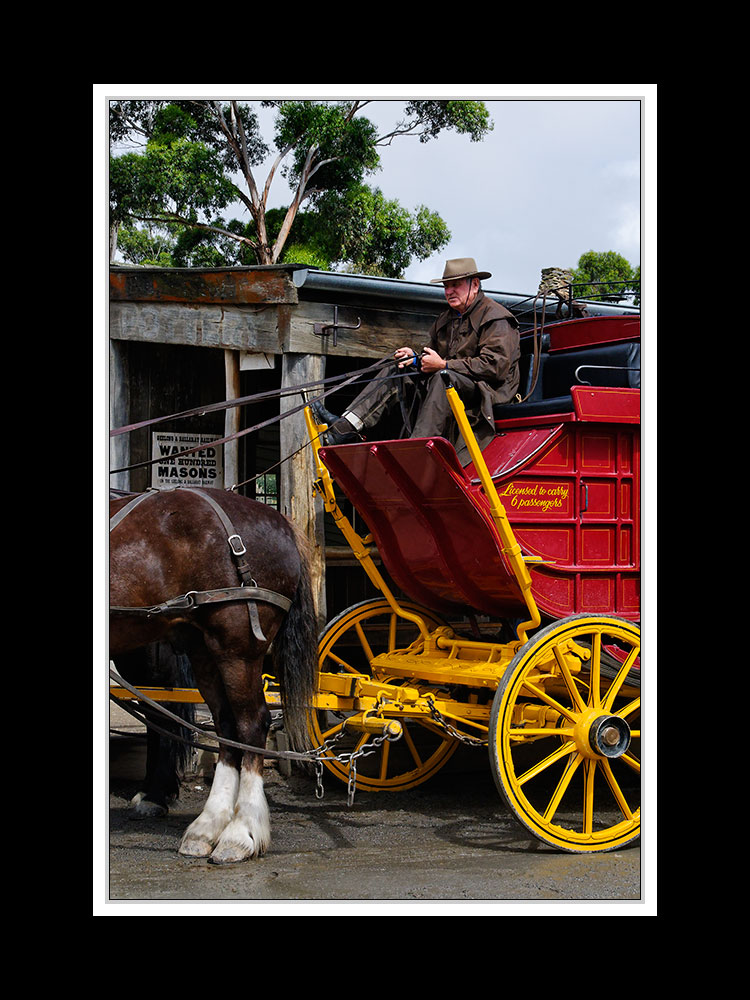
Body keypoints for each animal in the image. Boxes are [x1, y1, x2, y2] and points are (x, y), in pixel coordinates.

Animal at [109, 488, 318, 864]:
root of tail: (280, 520)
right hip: (204, 650)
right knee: (226, 726)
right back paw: (206, 826)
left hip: (236, 647)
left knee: (252, 724)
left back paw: (239, 832)